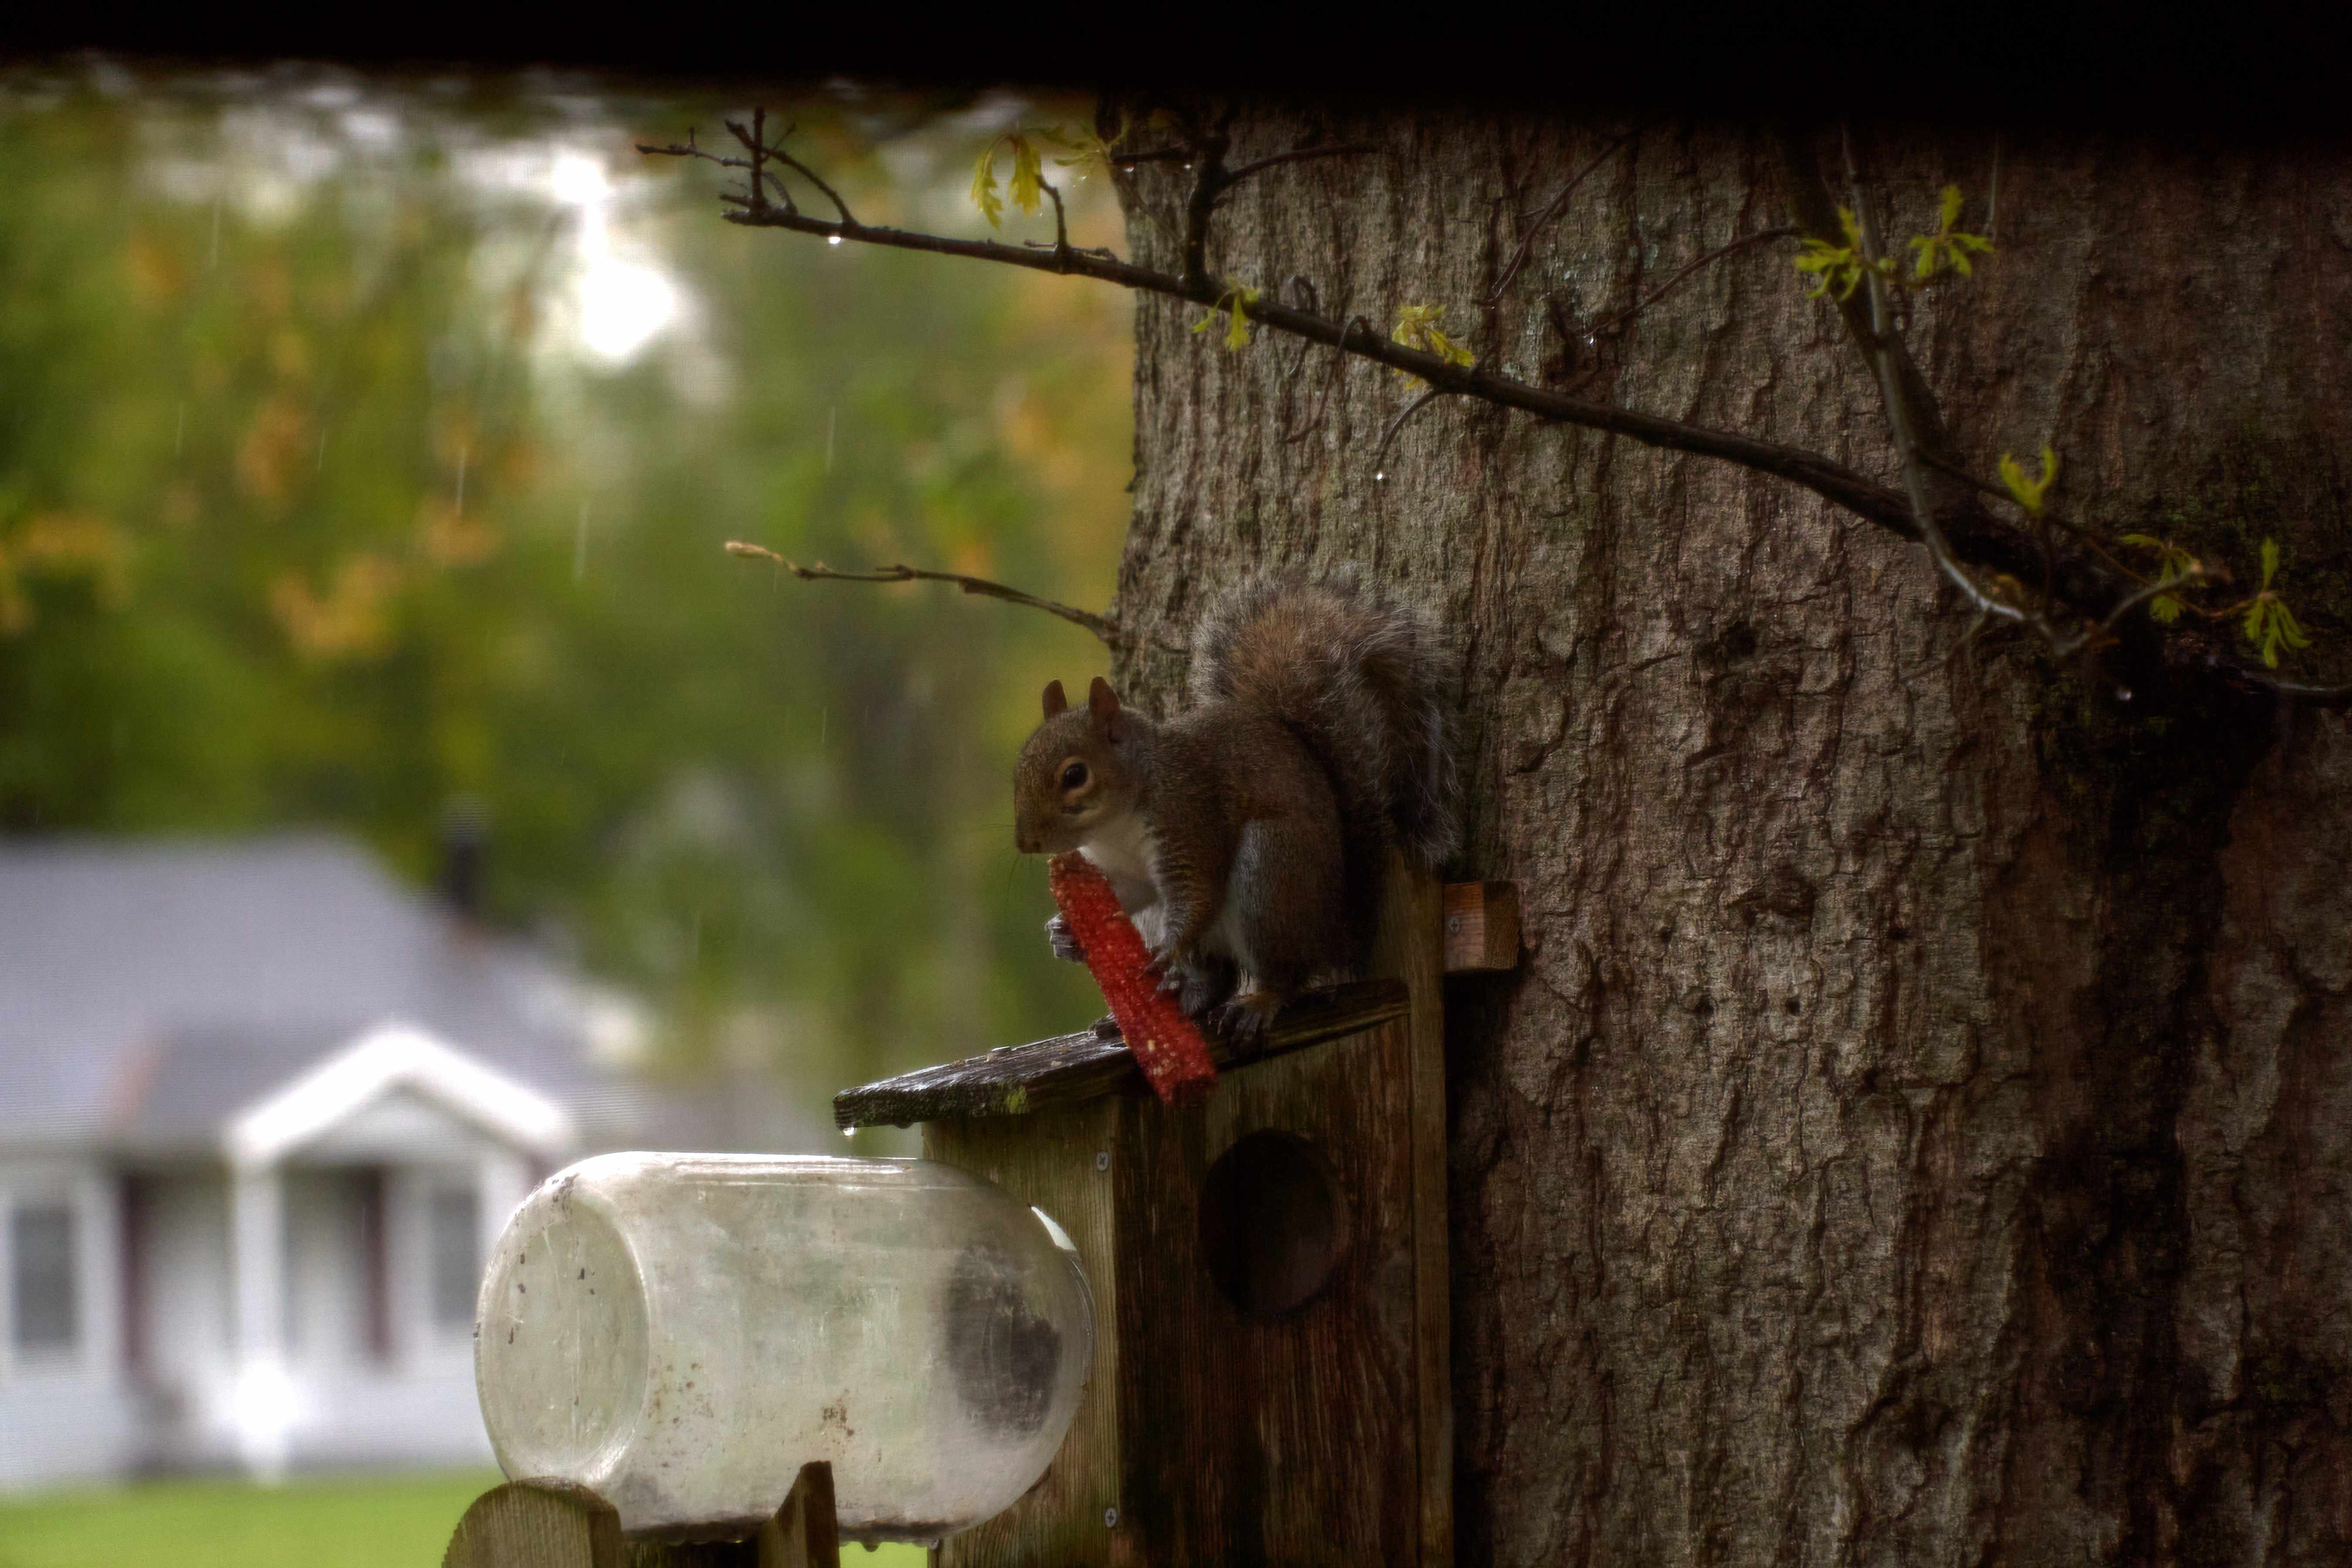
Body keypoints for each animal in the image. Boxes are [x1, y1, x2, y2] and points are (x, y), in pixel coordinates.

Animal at [1016, 573, 1458, 1044]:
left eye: (1074, 775)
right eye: (1020, 765)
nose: (1027, 843)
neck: (1114, 826)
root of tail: (1336, 933)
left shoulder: (1189, 820)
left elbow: (1198, 894)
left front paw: (1166, 951)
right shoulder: (1125, 870)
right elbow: (1129, 894)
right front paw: (1064, 933)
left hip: (1271, 876)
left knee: (1285, 975)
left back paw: (1257, 1002)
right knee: (1218, 977)